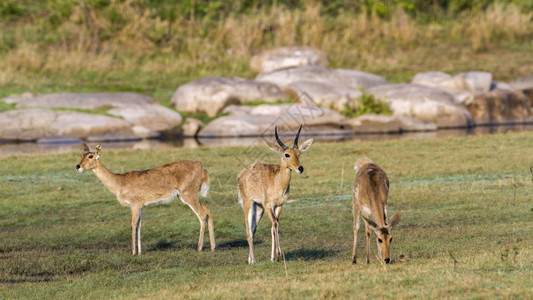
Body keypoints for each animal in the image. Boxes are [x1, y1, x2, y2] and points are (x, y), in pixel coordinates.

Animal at [75, 144, 216, 255]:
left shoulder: (135, 204)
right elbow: (139, 224)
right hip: (188, 195)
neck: (120, 183)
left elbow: (132, 224)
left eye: (91, 156)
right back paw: (213, 247)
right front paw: (140, 252)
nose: (78, 166)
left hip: (188, 194)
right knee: (208, 211)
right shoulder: (141, 205)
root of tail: (201, 166)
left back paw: (199, 248)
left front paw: (133, 252)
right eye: (81, 155)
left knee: (202, 214)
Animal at [237, 125, 312, 264]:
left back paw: (250, 259)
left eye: (299, 153)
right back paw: (253, 260)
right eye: (286, 154)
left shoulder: (279, 205)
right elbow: (275, 224)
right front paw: (278, 255)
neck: (277, 182)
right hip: (248, 203)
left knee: (253, 229)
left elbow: (274, 226)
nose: (300, 168)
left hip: (258, 207)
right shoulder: (268, 205)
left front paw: (273, 257)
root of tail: (242, 173)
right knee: (248, 231)